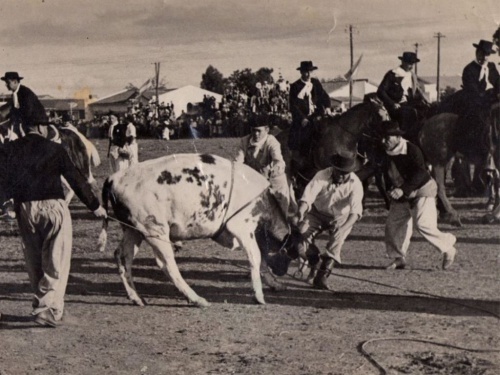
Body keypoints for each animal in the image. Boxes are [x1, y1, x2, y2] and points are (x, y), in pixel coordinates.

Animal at [97, 153, 292, 308]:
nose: (283, 272)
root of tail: (114, 178)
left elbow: (262, 259)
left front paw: (275, 283)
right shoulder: (242, 226)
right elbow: (256, 257)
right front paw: (259, 295)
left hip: (133, 230)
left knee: (123, 257)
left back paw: (136, 298)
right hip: (154, 230)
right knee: (167, 264)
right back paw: (197, 299)